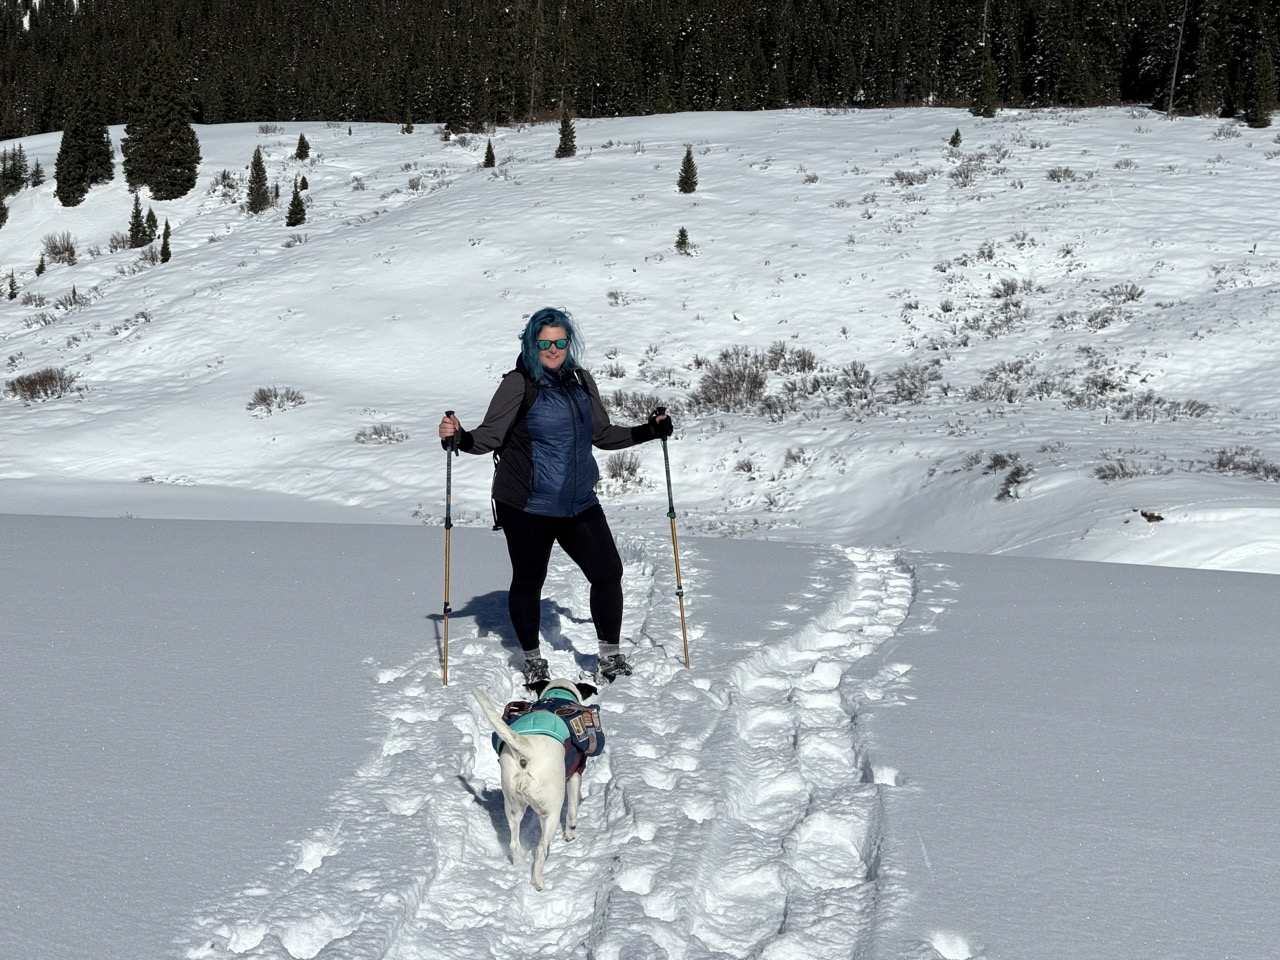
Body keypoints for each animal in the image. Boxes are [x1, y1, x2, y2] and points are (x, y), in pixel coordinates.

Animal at [471, 686, 599, 896]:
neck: (558, 694)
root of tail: (528, 751)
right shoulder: (575, 774)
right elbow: (572, 811)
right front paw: (570, 835)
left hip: (513, 806)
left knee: (514, 843)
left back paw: (519, 866)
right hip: (551, 812)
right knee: (540, 849)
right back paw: (538, 882)